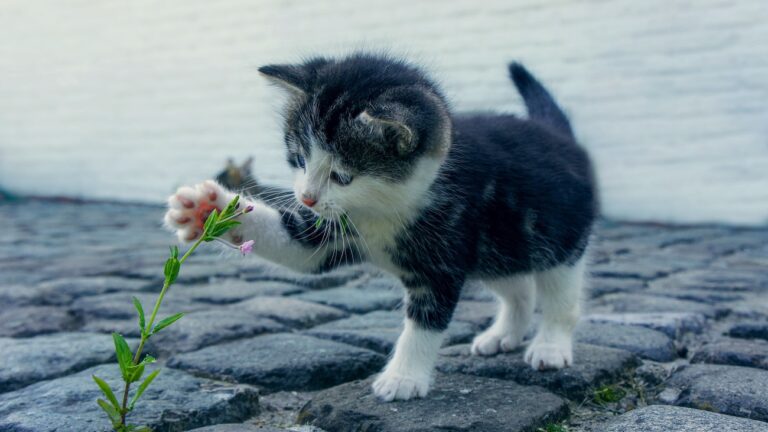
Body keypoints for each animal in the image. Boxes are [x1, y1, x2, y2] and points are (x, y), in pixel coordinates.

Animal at [165, 53, 596, 402]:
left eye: (342, 176)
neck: (383, 208)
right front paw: (207, 209)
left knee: (560, 295)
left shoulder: (443, 255)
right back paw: (504, 334)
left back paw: (550, 346)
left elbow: (425, 322)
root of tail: (559, 135)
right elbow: (297, 246)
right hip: (498, 247)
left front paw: (403, 378)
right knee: (518, 287)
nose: (306, 197)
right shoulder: (332, 231)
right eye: (299, 158)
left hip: (558, 238)